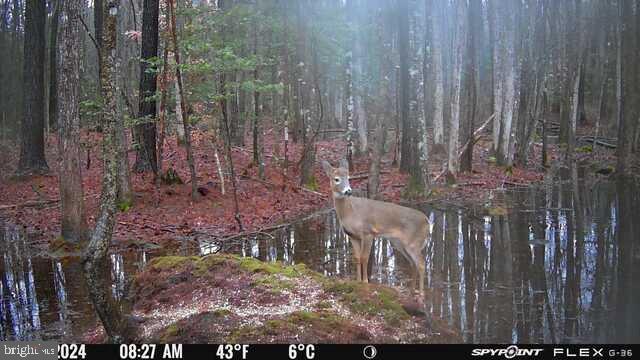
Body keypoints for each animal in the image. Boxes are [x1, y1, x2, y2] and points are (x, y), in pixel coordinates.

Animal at [320, 160, 430, 292]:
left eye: (348, 177)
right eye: (336, 179)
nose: (348, 191)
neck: (350, 212)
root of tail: (427, 221)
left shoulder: (368, 232)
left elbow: (364, 257)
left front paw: (365, 282)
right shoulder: (352, 236)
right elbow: (357, 258)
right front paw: (357, 281)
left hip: (414, 242)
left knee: (421, 264)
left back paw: (421, 293)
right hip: (400, 243)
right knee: (413, 263)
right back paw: (412, 290)